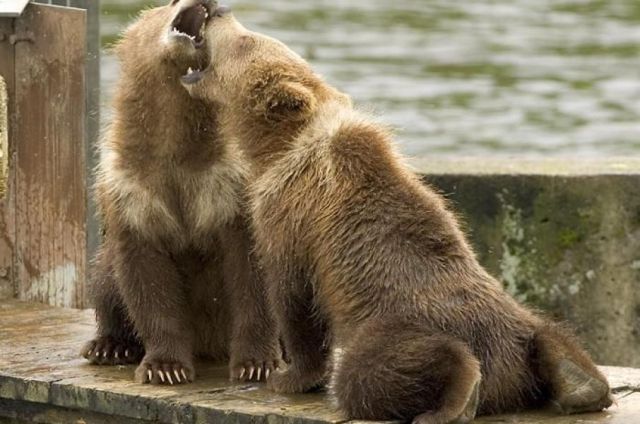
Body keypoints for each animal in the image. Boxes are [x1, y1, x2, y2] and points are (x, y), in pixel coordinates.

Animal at [80, 0, 281, 385]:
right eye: (167, 3)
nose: (212, 4)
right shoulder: (132, 188)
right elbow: (146, 279)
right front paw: (165, 367)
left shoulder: (230, 186)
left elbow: (251, 275)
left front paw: (256, 362)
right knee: (105, 279)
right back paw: (109, 345)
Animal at [180, 6, 613, 422]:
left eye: (246, 41)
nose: (218, 10)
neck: (275, 147)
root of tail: (506, 377)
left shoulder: (289, 215)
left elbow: (293, 296)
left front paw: (287, 376)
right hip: (515, 321)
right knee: (550, 332)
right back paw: (582, 385)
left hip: (391, 323)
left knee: (370, 372)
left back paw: (461, 391)